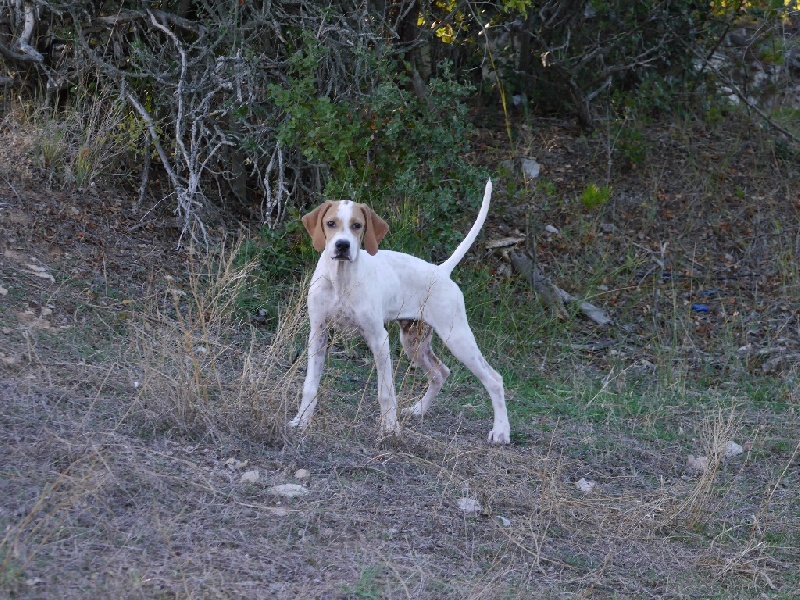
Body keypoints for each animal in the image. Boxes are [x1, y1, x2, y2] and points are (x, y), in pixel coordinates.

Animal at [290, 180, 510, 442]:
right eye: (330, 223)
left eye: (357, 225)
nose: (342, 245)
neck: (341, 280)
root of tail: (442, 271)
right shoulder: (319, 334)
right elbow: (309, 385)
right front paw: (301, 421)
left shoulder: (378, 339)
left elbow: (385, 392)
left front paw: (390, 428)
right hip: (414, 342)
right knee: (440, 373)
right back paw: (418, 409)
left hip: (457, 338)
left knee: (494, 379)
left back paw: (501, 431)